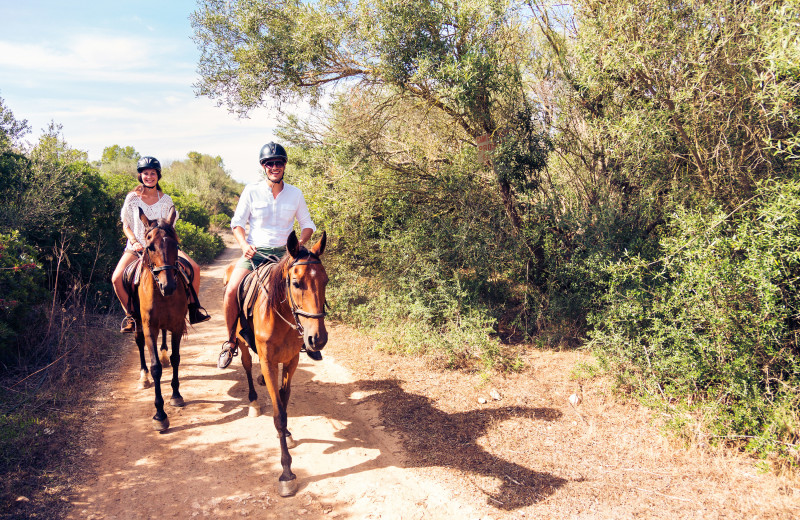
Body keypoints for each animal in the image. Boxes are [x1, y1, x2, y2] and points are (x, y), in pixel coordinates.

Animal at [223, 231, 326, 496]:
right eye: (296, 283)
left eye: (326, 281)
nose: (318, 338)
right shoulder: (269, 361)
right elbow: (278, 413)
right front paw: (287, 473)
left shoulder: (292, 360)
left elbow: (284, 398)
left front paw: (288, 433)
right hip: (241, 342)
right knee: (247, 366)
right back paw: (253, 401)